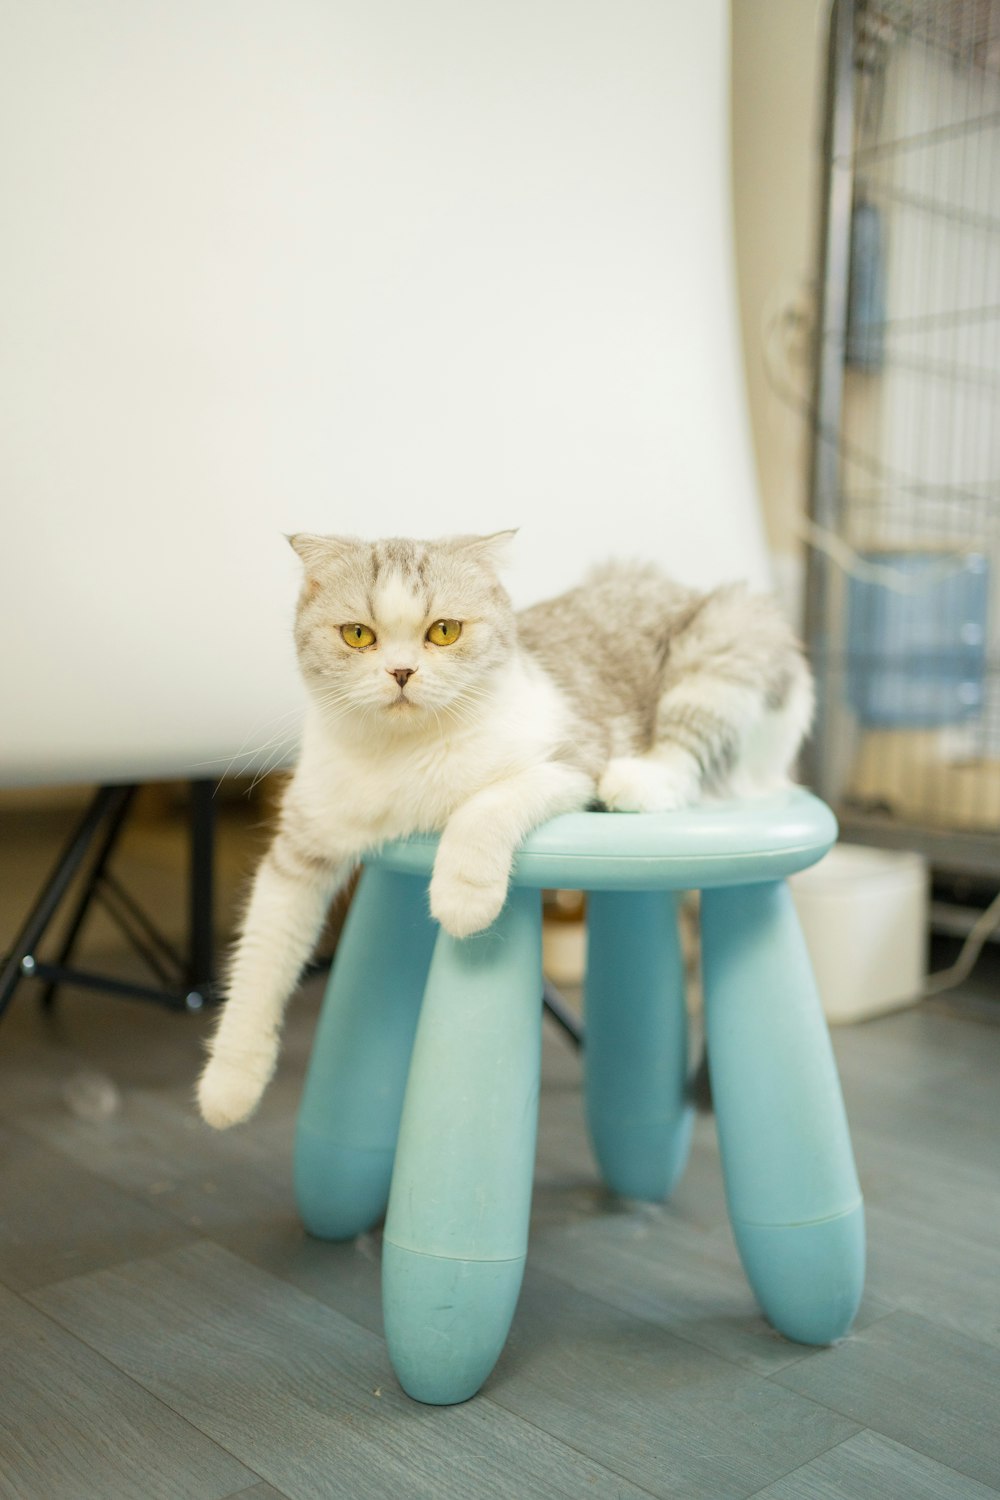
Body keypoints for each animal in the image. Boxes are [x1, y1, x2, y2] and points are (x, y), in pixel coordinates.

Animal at [194, 528, 815, 1128]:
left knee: (687, 746)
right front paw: (229, 1085)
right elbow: (261, 956)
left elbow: (486, 804)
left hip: (723, 650)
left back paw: (640, 781)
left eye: (444, 631)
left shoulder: (572, 762)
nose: (401, 672)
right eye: (357, 635)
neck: (404, 754)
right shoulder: (302, 845)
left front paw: (464, 894)